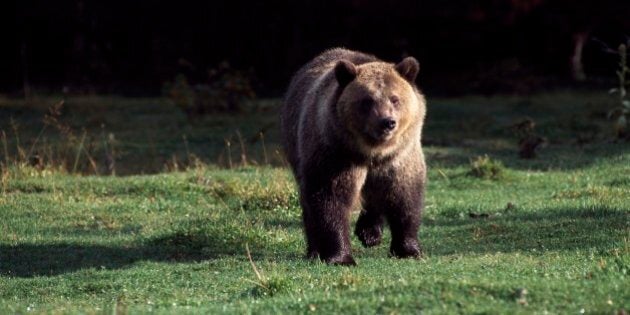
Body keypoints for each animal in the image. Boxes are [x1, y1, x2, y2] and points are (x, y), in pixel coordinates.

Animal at [282, 48, 428, 266]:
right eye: (367, 101)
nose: (387, 122)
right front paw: (341, 256)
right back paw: (314, 250)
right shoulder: (336, 154)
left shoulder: (400, 157)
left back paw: (369, 233)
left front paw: (408, 249)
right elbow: (331, 199)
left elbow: (405, 197)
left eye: (395, 98)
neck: (372, 151)